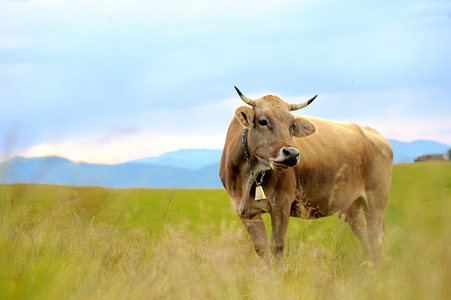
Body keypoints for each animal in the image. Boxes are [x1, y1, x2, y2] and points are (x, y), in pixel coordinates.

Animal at [219, 86, 392, 262]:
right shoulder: (246, 211)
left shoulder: (281, 204)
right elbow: (261, 249)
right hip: (352, 203)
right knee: (363, 234)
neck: (249, 176)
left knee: (376, 237)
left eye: (292, 125)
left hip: (375, 198)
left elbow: (277, 246)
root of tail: (372, 132)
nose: (292, 154)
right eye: (263, 121)